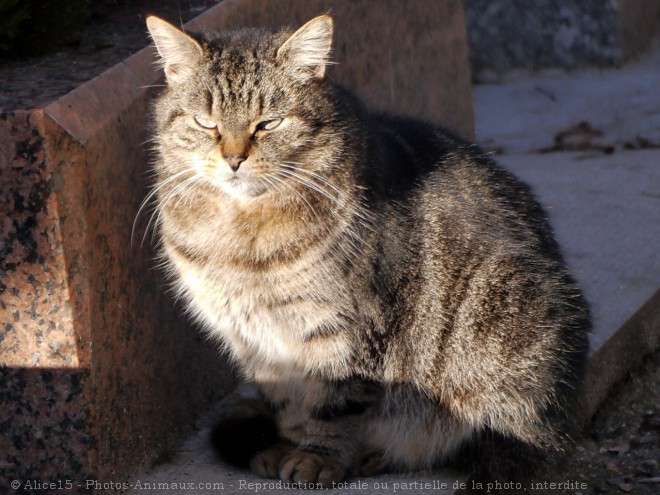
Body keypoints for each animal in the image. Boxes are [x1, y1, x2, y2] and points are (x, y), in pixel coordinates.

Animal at [147, 13, 592, 490]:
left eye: (268, 123)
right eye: (205, 122)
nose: (233, 158)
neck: (239, 234)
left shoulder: (346, 329)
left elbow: (333, 405)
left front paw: (318, 457)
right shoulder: (253, 340)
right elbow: (287, 402)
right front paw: (289, 444)